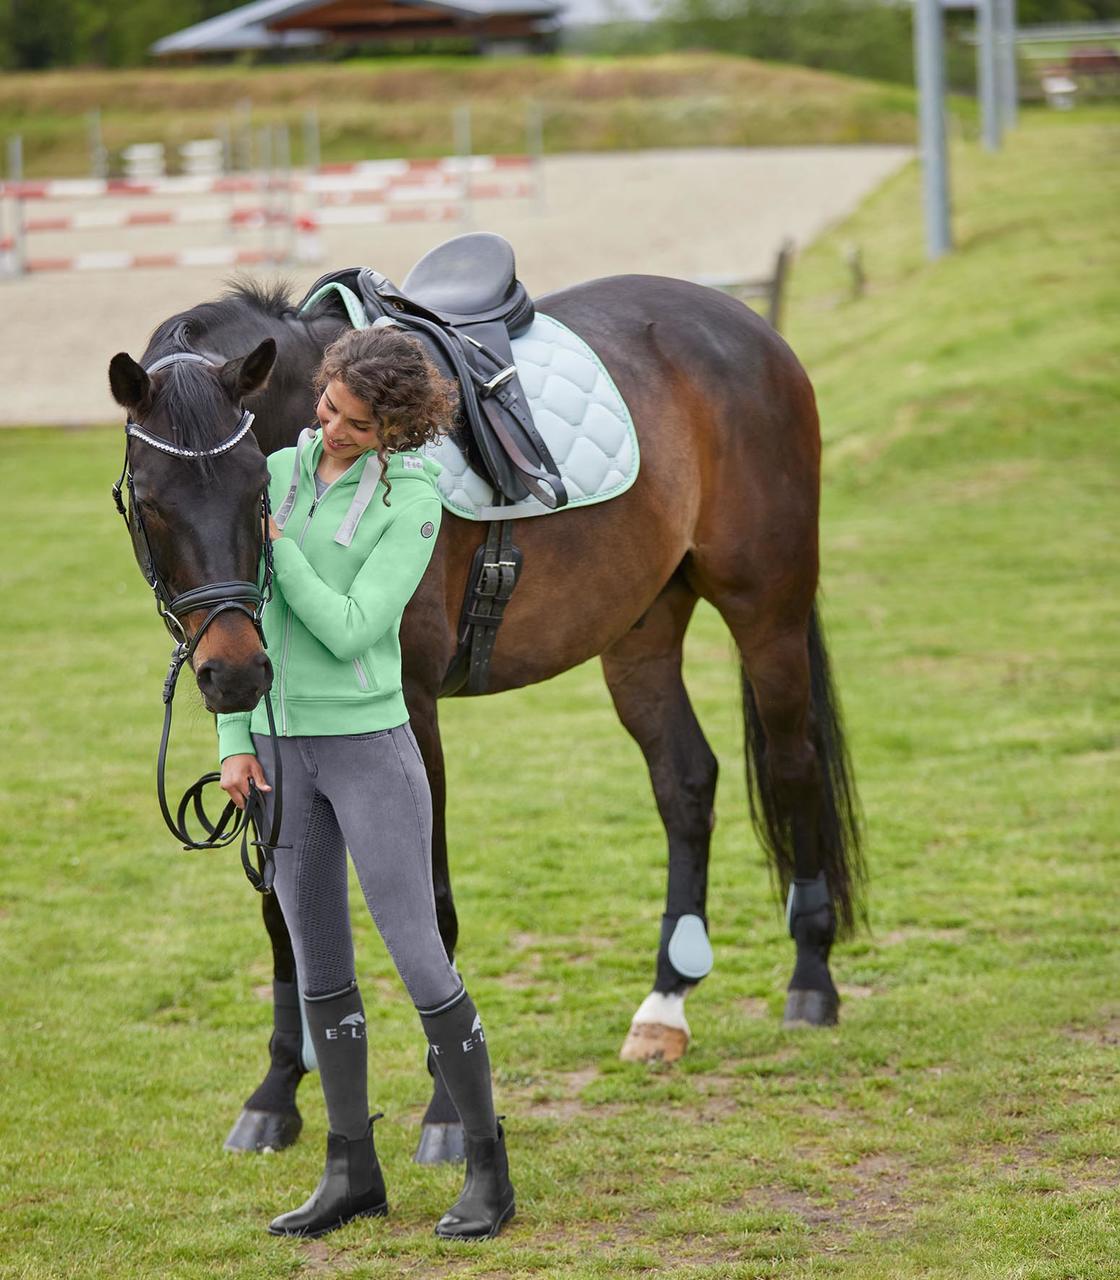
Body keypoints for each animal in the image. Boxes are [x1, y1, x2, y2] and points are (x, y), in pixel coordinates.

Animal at [109, 267, 865, 1162]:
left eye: (257, 489)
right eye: (149, 500)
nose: (232, 672)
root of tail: (746, 326)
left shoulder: (412, 713)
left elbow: (429, 906)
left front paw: (447, 1115)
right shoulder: (273, 744)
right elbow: (281, 916)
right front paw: (276, 1094)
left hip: (767, 607)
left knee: (792, 763)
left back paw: (811, 979)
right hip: (641, 629)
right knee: (686, 782)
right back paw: (665, 1006)